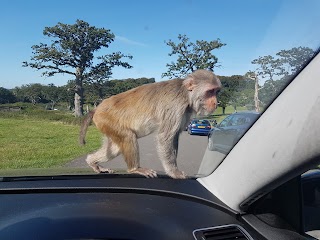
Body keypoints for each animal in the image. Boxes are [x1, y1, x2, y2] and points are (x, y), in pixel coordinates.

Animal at [79, 69, 221, 178]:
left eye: (216, 91)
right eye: (210, 91)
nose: (215, 102)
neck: (186, 94)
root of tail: (97, 108)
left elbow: (174, 137)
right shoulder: (175, 106)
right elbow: (165, 137)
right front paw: (173, 172)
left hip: (105, 124)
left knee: (115, 149)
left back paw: (92, 162)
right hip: (106, 119)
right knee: (128, 137)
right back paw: (134, 169)